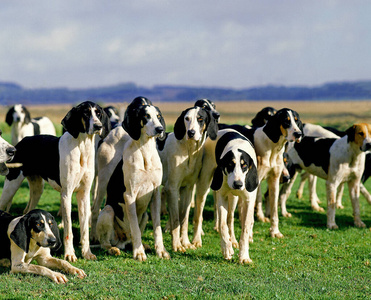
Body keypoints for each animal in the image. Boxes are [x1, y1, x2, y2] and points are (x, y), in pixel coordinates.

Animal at [0, 102, 110, 262]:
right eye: (86, 113)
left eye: (99, 113)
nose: (98, 126)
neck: (82, 147)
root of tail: (20, 143)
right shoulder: (66, 194)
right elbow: (69, 230)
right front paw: (70, 254)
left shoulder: (84, 195)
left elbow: (84, 229)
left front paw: (86, 253)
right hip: (10, 186)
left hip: (37, 189)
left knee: (27, 211)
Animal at [159, 104, 218, 252]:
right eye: (187, 118)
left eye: (200, 119)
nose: (191, 132)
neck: (189, 150)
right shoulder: (173, 188)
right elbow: (176, 220)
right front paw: (177, 245)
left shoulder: (188, 189)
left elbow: (184, 219)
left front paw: (185, 242)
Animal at [209, 128, 258, 262]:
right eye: (230, 164)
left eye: (244, 165)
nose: (238, 184)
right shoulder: (222, 197)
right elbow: (222, 225)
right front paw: (226, 249)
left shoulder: (248, 201)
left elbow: (245, 229)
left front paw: (244, 256)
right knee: (228, 219)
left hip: (235, 198)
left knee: (231, 218)